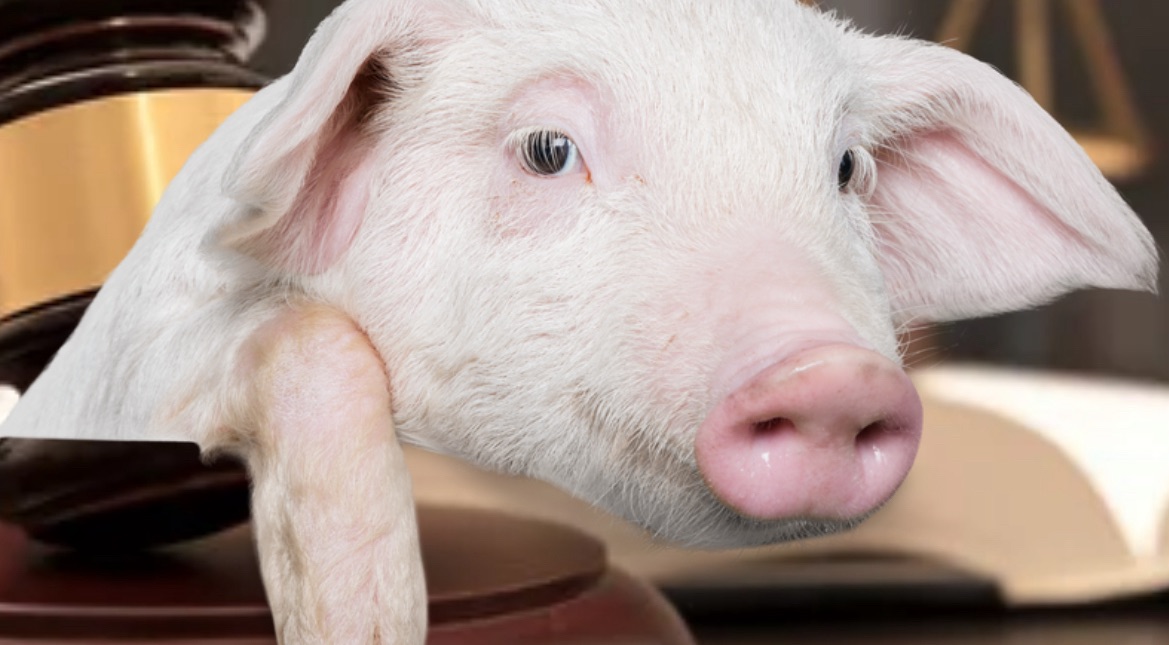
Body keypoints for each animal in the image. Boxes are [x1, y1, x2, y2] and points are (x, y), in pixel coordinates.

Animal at [0, 0, 1158, 642]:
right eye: (548, 149)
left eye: (845, 169)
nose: (830, 374)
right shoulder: (135, 370)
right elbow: (310, 345)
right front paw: (369, 626)